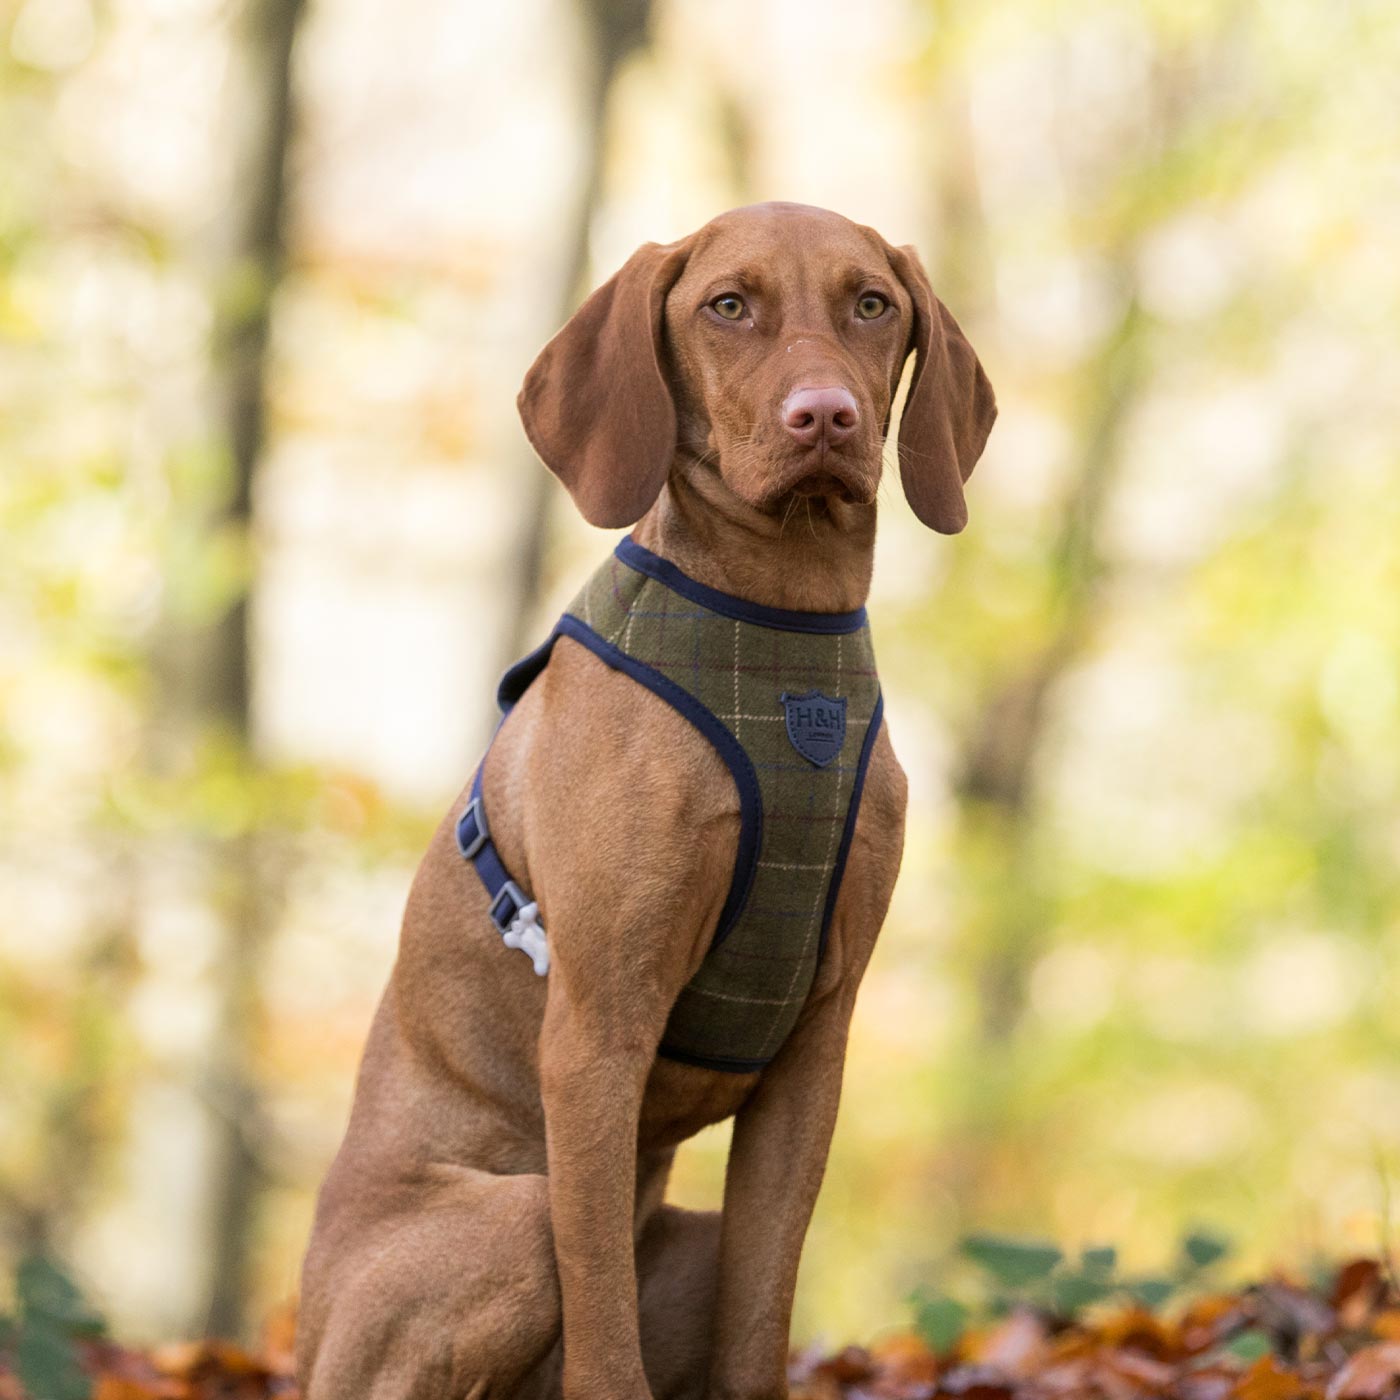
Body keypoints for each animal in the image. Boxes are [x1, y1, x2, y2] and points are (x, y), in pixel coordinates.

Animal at [295, 200, 996, 1400]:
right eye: (728, 304)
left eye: (872, 303)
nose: (827, 416)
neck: (781, 630)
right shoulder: (597, 1029)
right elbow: (601, 1328)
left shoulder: (815, 1046)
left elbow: (761, 1319)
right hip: (501, 1224)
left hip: (689, 1239)